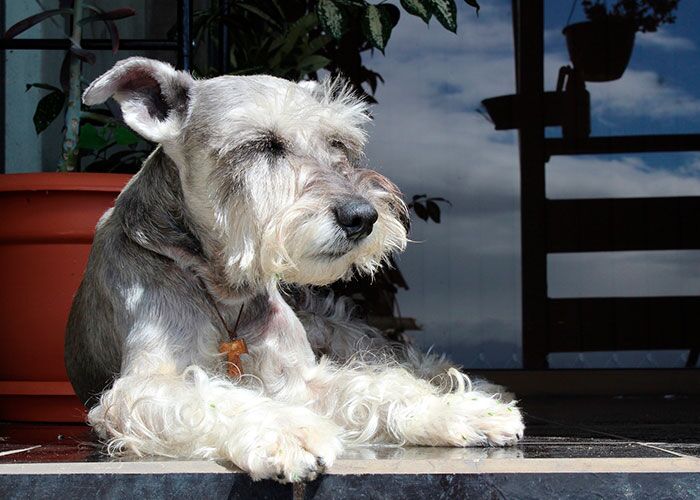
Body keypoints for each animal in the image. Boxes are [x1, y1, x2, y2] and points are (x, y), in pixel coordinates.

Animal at [65, 56, 524, 482]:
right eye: (264, 144)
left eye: (337, 142)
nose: (362, 216)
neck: (223, 290)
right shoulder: (142, 387)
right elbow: (216, 397)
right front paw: (287, 431)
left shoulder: (302, 376)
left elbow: (377, 385)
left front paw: (454, 410)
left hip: (335, 330)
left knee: (396, 359)